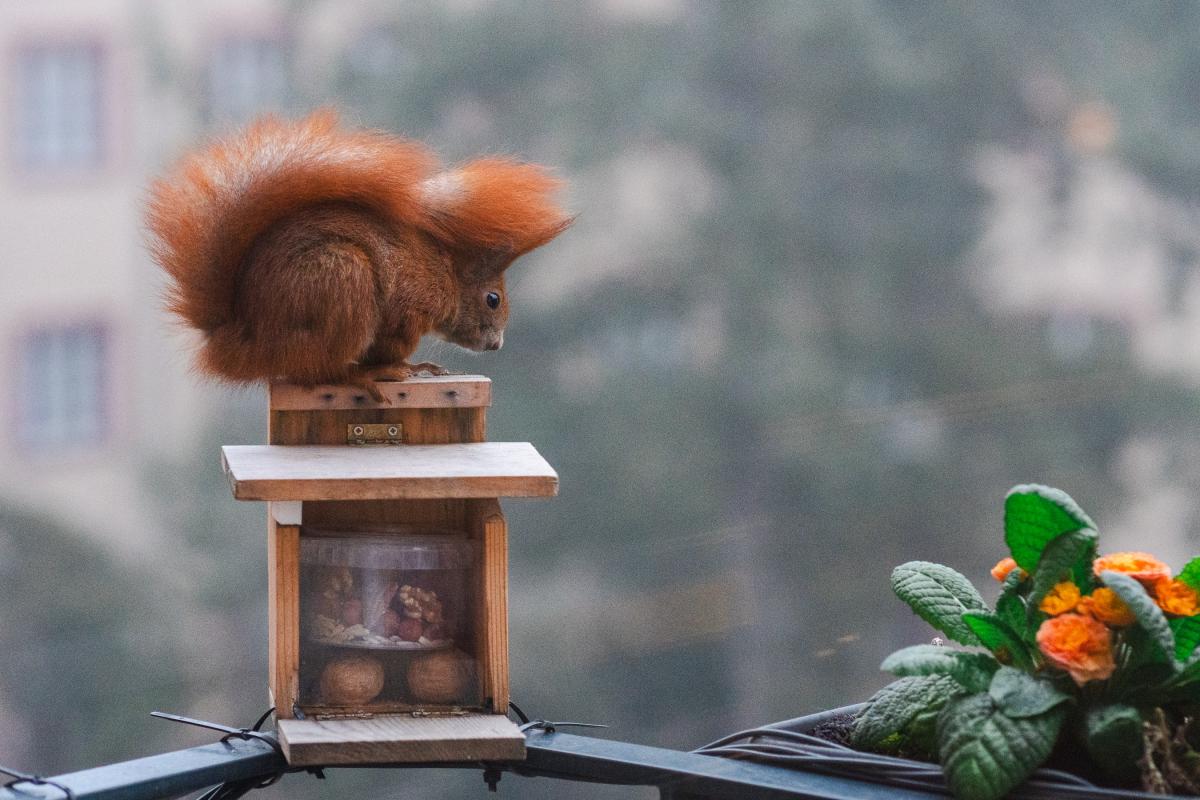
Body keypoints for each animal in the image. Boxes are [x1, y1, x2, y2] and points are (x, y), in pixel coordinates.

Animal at [148, 110, 571, 400]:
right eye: (493, 299)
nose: (497, 345)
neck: (444, 273)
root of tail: (244, 339)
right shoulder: (408, 309)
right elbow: (393, 347)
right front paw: (408, 366)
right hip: (342, 283)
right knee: (320, 372)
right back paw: (366, 376)